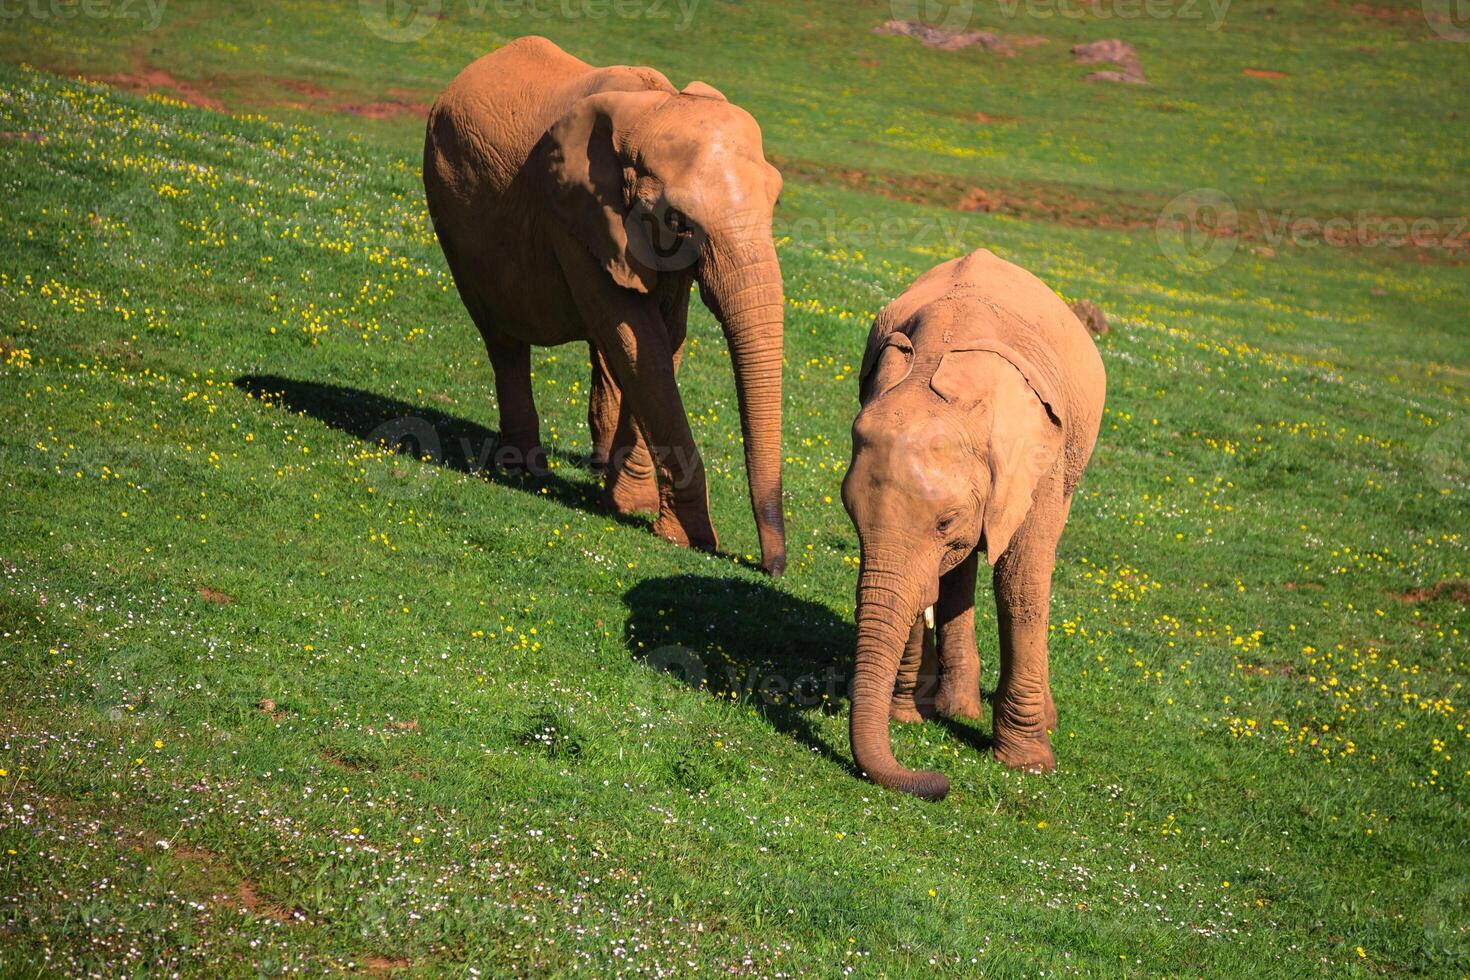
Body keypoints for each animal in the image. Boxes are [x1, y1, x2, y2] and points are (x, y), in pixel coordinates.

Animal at [423, 36, 787, 575]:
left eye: (775, 201)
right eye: (678, 221)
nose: (771, 567)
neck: (654, 106)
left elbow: (662, 339)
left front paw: (629, 507)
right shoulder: (574, 215)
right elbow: (641, 343)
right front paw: (687, 537)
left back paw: (596, 469)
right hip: (452, 217)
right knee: (503, 339)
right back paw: (523, 469)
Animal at [840, 249, 1105, 799]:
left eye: (945, 522)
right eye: (850, 513)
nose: (939, 784)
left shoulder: (1038, 457)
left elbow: (1020, 583)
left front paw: (1028, 766)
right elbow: (928, 582)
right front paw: (907, 719)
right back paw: (953, 709)